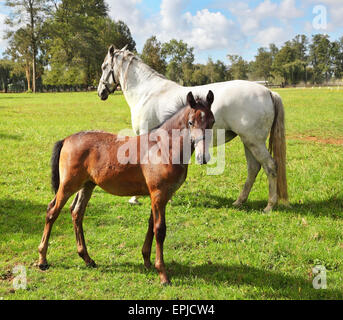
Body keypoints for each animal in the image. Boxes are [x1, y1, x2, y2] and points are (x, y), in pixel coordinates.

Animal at [39, 90, 216, 282]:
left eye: (212, 122)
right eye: (191, 122)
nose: (203, 157)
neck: (162, 148)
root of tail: (66, 139)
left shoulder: (159, 196)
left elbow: (151, 225)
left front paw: (147, 261)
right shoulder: (159, 194)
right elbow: (160, 230)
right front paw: (162, 273)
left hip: (87, 185)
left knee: (77, 213)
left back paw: (87, 258)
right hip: (68, 185)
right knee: (52, 211)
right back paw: (42, 260)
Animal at [98, 43, 288, 211]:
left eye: (104, 66)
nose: (101, 92)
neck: (148, 92)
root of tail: (268, 91)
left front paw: (135, 198)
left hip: (254, 142)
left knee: (270, 166)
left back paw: (269, 206)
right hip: (248, 141)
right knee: (254, 168)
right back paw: (239, 201)